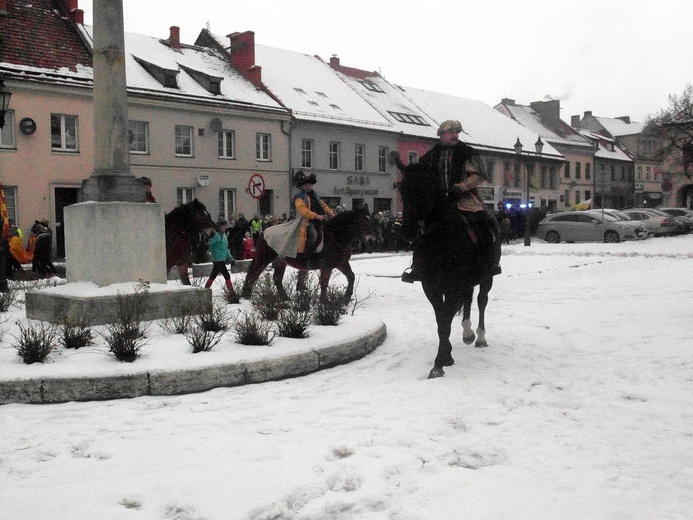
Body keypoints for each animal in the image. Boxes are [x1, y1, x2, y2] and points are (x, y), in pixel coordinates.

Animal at [241, 206, 370, 300]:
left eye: (369, 219)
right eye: (361, 220)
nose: (370, 237)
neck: (335, 237)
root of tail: (264, 232)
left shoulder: (341, 263)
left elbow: (351, 276)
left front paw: (346, 298)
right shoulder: (326, 267)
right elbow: (324, 282)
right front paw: (324, 301)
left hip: (280, 261)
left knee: (276, 278)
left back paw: (285, 298)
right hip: (264, 258)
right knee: (253, 273)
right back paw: (246, 295)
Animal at [398, 162, 494, 378]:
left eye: (423, 189)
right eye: (401, 190)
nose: (407, 230)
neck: (439, 237)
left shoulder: (452, 285)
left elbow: (446, 320)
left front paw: (439, 363)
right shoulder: (430, 286)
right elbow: (441, 319)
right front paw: (447, 356)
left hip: (487, 277)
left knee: (481, 300)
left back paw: (480, 337)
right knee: (468, 299)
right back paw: (467, 333)